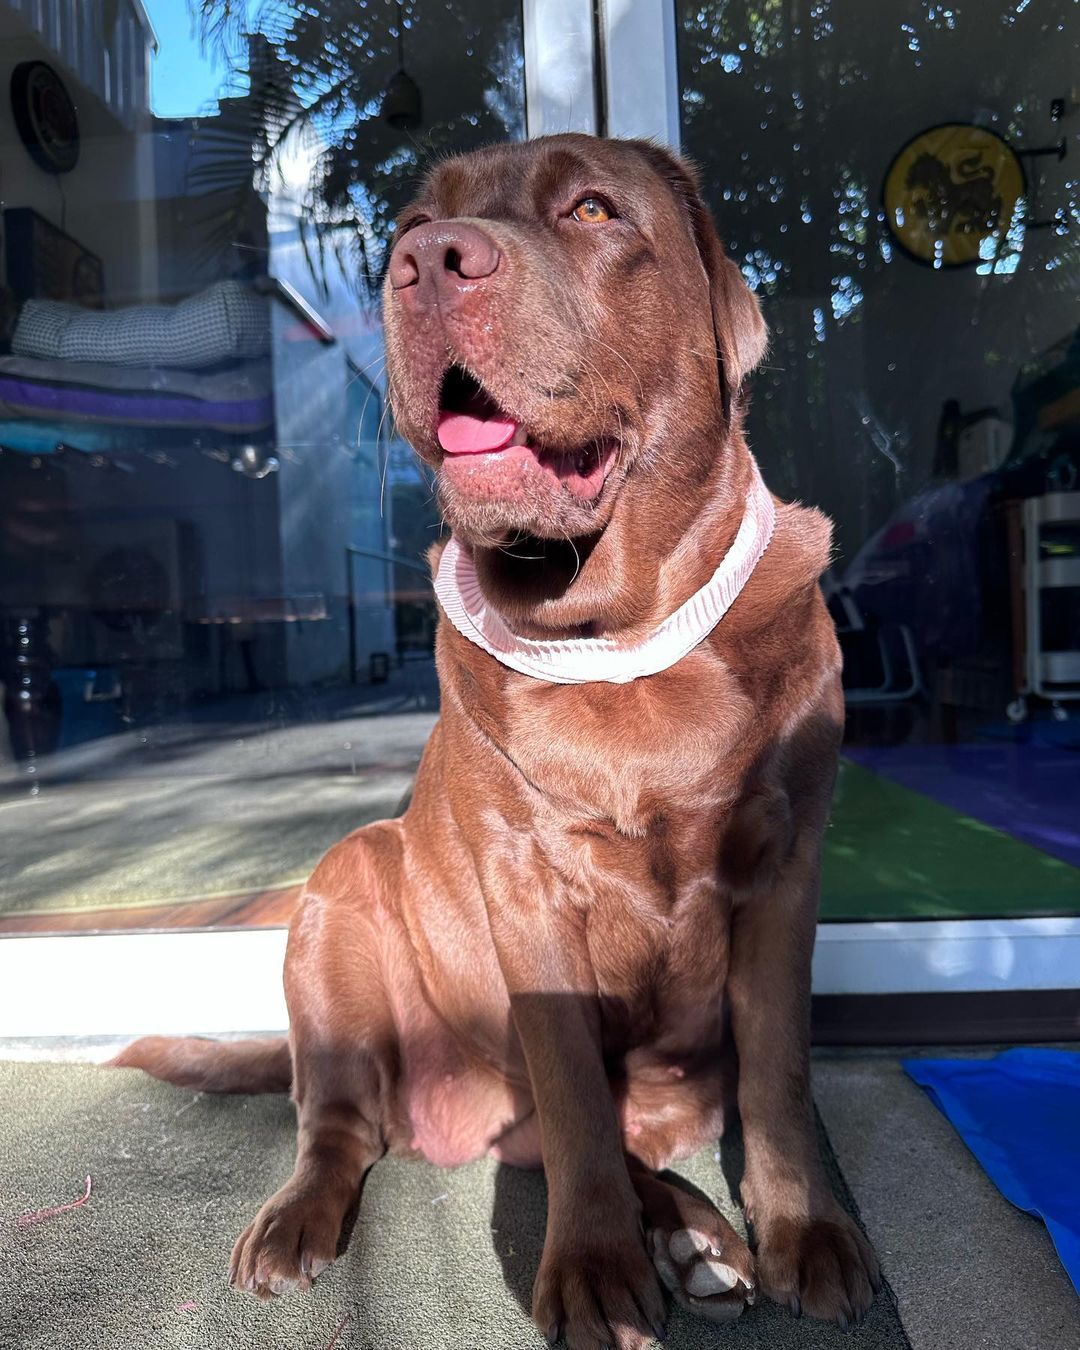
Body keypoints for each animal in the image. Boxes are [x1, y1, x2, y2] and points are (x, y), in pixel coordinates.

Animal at [114, 134, 874, 1350]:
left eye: (594, 210)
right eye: (414, 222)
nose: (428, 260)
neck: (619, 637)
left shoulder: (787, 862)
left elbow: (780, 1072)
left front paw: (805, 1234)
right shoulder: (525, 886)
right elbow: (570, 1090)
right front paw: (597, 1271)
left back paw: (697, 1238)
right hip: (346, 886)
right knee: (346, 1121)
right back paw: (302, 1223)